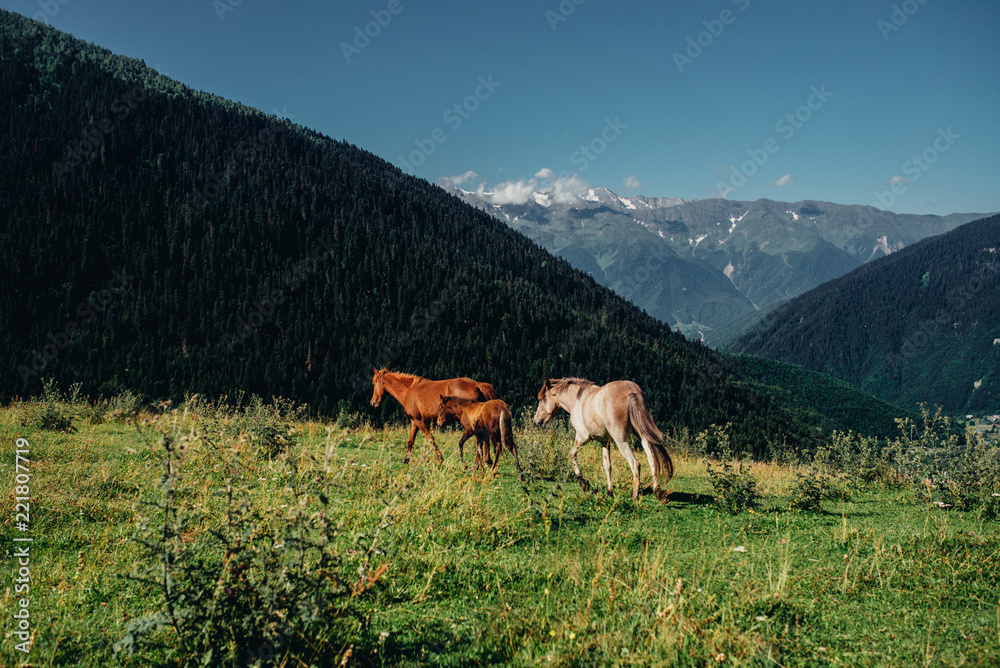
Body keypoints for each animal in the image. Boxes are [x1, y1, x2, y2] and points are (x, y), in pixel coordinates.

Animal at [370, 368, 499, 463]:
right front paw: (406, 460)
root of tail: (477, 385)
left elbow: (430, 439)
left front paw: (439, 458)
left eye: (373, 384)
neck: (409, 390)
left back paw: (476, 464)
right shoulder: (414, 421)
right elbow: (411, 441)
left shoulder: (420, 421)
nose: (373, 403)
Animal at [533, 378, 674, 501]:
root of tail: (631, 392)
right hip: (642, 435)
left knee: (635, 463)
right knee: (652, 459)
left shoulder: (582, 437)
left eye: (540, 399)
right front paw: (609, 491)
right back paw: (657, 491)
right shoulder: (605, 441)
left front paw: (583, 483)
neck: (578, 400)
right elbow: (607, 465)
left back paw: (634, 496)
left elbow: (572, 455)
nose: (536, 422)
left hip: (621, 440)